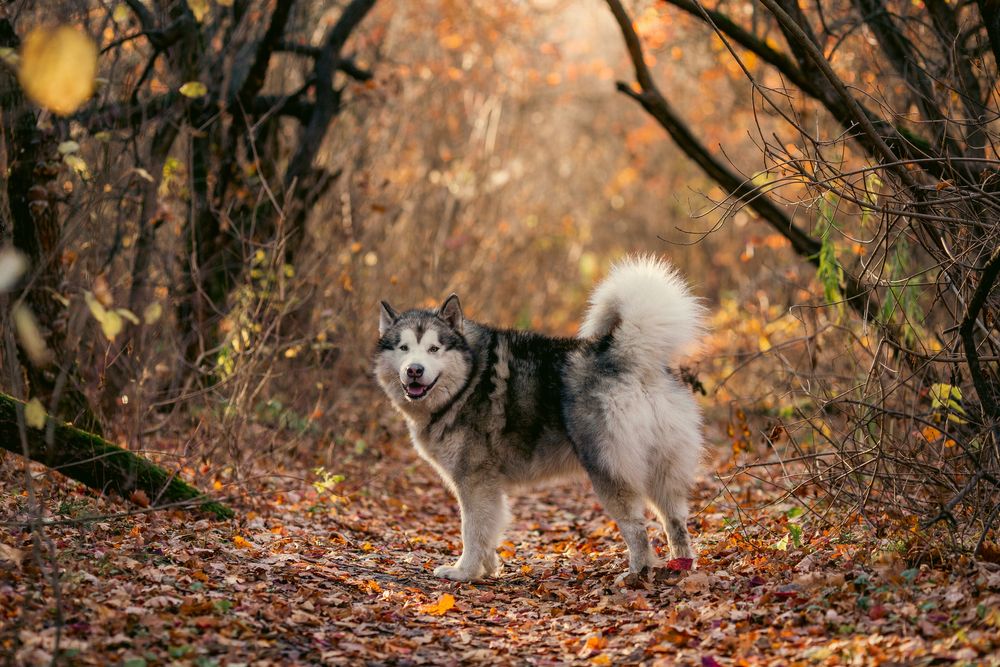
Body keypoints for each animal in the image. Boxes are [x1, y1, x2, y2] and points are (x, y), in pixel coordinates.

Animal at [372, 254, 708, 580]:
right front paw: (488, 569)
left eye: (434, 348)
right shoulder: (488, 487)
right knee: (675, 522)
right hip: (662, 471)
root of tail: (631, 356)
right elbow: (488, 532)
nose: (414, 370)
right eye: (403, 348)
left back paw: (636, 574)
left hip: (608, 469)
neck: (468, 380)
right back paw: (680, 568)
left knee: (637, 529)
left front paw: (464, 572)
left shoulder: (474, 480)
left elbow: (472, 531)